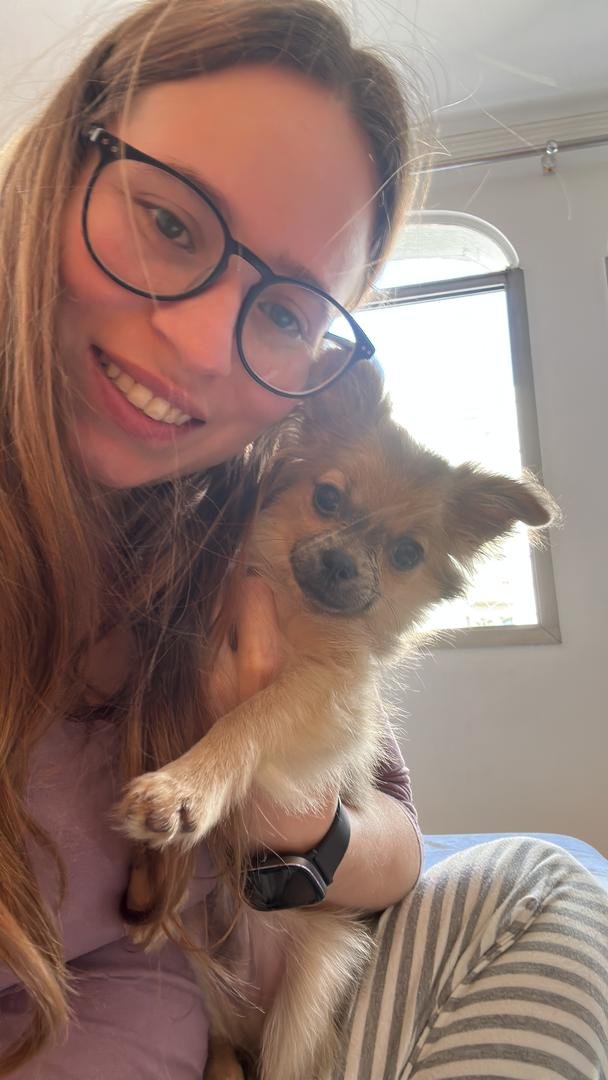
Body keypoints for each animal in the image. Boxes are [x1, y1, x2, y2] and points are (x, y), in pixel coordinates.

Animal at [114, 358, 556, 1080]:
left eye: (406, 554)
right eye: (326, 498)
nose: (344, 562)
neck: (295, 608)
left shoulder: (329, 695)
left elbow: (249, 717)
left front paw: (187, 786)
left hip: (315, 979)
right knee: (222, 1047)